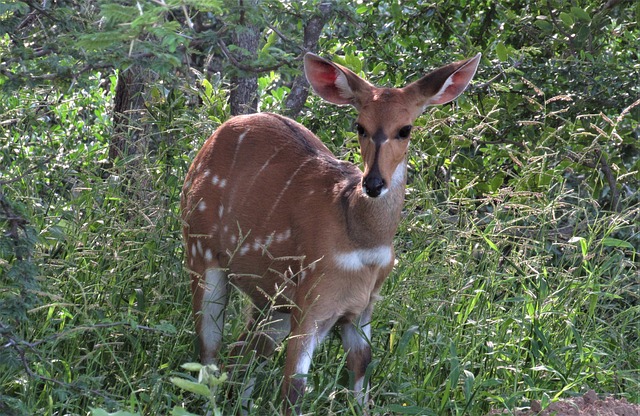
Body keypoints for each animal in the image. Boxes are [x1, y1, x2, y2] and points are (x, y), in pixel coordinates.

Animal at [180, 51, 480, 412]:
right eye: (360, 126)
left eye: (405, 129)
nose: (373, 183)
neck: (360, 239)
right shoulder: (313, 300)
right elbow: (294, 389)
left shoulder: (362, 307)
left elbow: (362, 374)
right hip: (201, 252)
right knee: (210, 349)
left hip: (272, 299)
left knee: (243, 351)